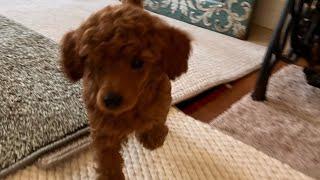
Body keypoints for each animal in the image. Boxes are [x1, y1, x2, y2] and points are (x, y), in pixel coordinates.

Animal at [59, 0, 191, 179]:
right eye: (96, 64)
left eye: (137, 63)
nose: (111, 100)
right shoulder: (103, 128)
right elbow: (107, 157)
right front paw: (110, 176)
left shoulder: (162, 97)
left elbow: (158, 116)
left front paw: (154, 135)